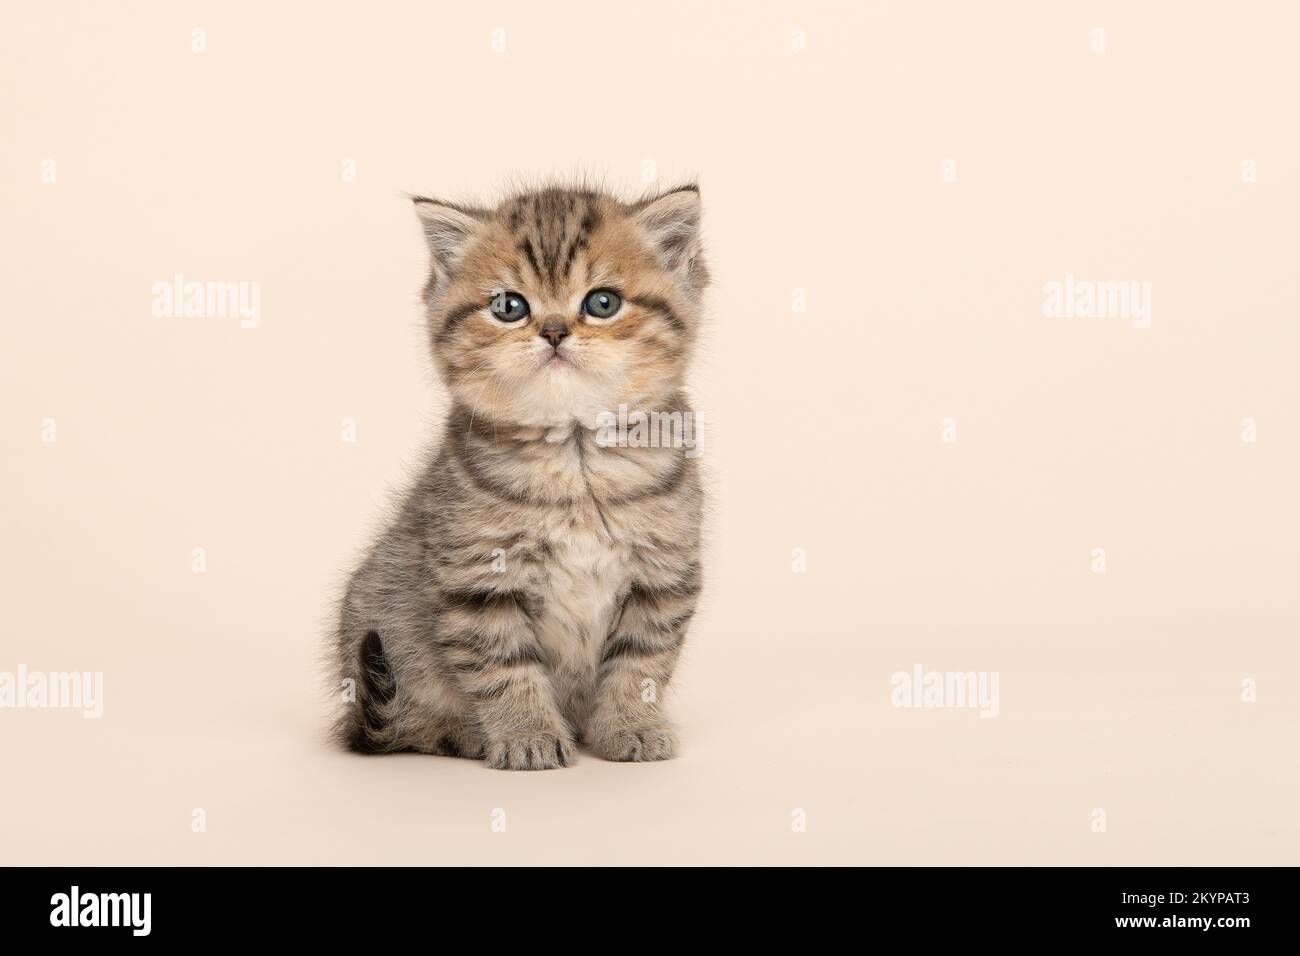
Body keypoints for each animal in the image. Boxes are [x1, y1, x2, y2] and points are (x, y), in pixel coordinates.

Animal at [330, 184, 707, 770]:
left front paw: (631, 726)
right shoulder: (477, 578)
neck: (575, 457)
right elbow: (502, 666)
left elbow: (641, 663)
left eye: (603, 303)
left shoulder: (662, 576)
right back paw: (462, 732)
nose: (553, 331)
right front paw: (527, 734)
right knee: (405, 724)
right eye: (509, 306)